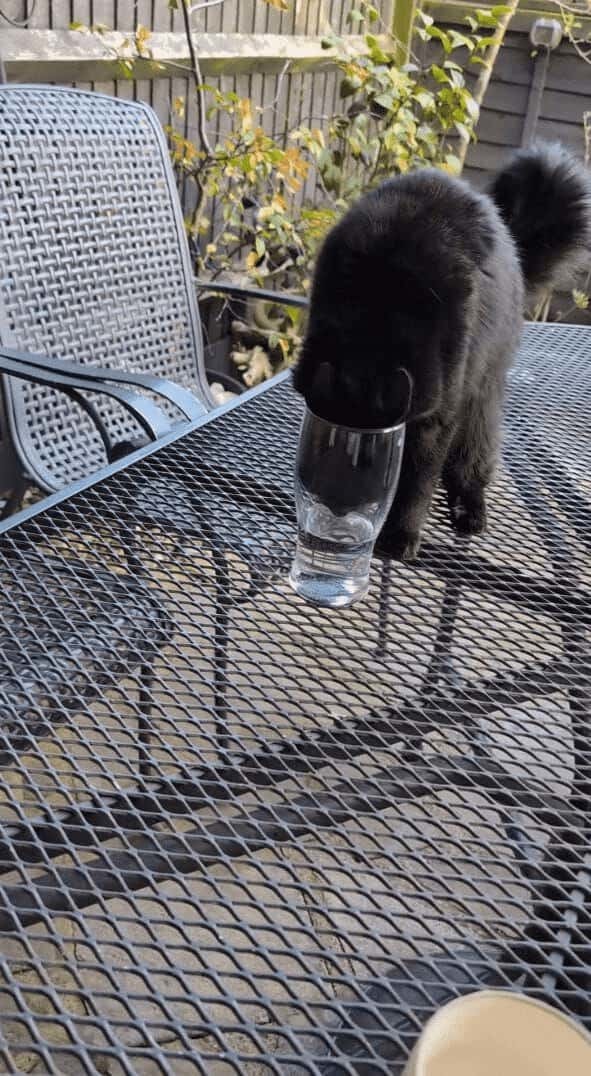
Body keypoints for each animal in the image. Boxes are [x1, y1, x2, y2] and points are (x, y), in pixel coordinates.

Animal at [292, 148, 585, 563]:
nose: (339, 513)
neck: (377, 309)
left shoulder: (438, 415)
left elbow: (419, 479)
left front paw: (402, 533)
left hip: (481, 401)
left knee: (470, 463)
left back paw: (469, 510)